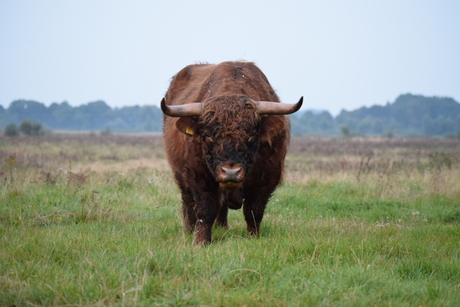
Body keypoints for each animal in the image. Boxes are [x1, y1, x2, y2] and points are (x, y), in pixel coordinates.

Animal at [162, 61, 302, 244]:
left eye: (251, 135)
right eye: (207, 135)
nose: (230, 172)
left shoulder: (268, 177)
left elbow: (253, 210)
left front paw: (253, 238)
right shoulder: (198, 175)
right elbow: (205, 209)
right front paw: (201, 242)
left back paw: (222, 227)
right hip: (181, 175)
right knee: (189, 202)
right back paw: (190, 229)